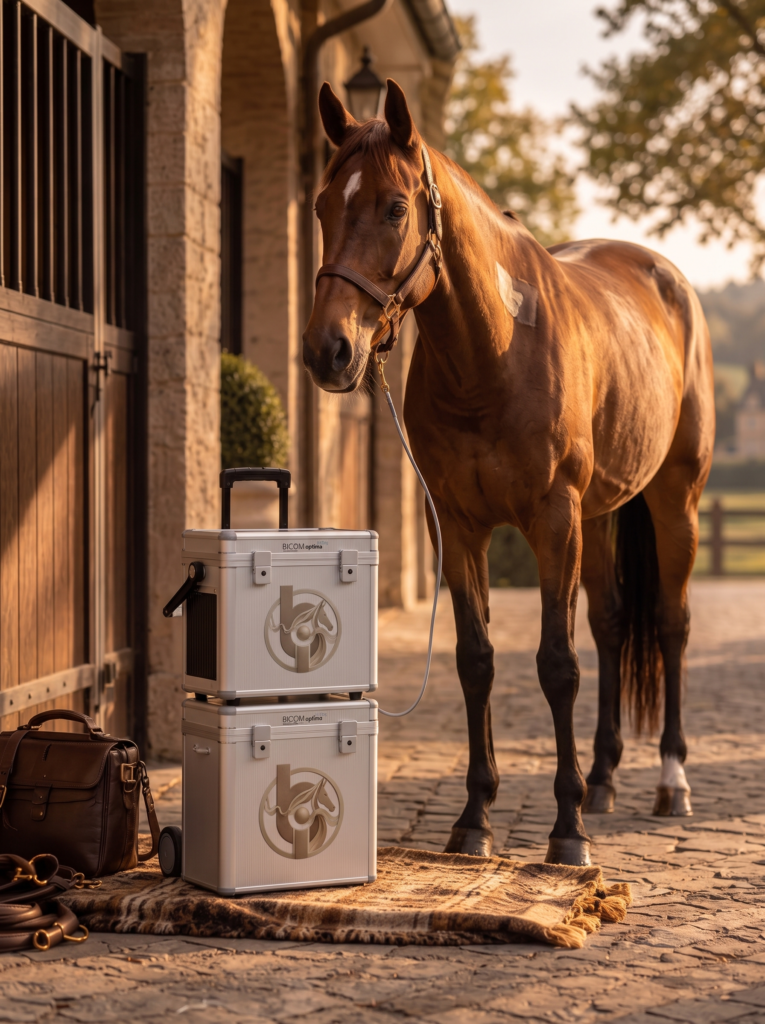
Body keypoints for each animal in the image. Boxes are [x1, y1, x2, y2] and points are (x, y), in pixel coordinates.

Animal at [302, 79, 715, 866]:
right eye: (320, 206)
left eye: (395, 207)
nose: (326, 350)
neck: (491, 357)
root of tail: (668, 278)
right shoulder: (458, 527)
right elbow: (477, 660)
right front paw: (474, 820)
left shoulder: (552, 519)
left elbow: (557, 664)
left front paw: (566, 831)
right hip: (599, 517)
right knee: (612, 625)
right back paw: (603, 778)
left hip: (674, 499)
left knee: (672, 625)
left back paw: (671, 782)